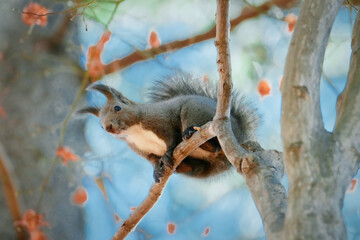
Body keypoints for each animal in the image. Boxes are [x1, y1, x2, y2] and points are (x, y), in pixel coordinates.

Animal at [80, 74, 258, 182]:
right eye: (100, 126)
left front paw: (168, 152)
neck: (135, 131)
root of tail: (238, 132)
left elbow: (171, 138)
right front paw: (155, 169)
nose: (108, 128)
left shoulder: (161, 122)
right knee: (198, 167)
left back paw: (198, 138)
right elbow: (151, 159)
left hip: (194, 111)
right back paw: (183, 166)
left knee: (212, 144)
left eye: (117, 108)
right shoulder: (139, 148)